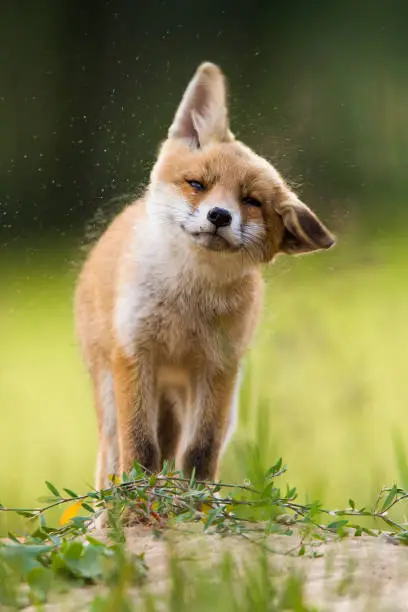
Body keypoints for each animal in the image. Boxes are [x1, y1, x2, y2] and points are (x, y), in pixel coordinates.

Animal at [74, 62, 334, 490]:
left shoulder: (218, 368)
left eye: (251, 202)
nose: (219, 216)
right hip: (111, 393)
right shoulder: (135, 354)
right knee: (111, 456)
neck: (186, 300)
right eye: (197, 184)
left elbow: (199, 452)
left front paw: (198, 496)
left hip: (212, 400)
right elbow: (140, 448)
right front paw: (140, 494)